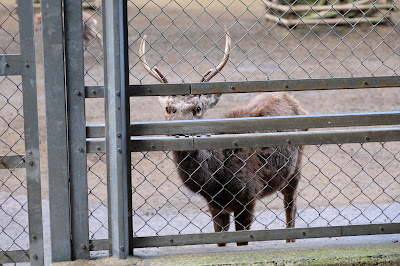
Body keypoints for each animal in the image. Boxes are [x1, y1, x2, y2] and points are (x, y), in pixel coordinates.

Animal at [139, 31, 308, 247]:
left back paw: (290, 240)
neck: (216, 182)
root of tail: (291, 99)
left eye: (198, 109)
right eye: (169, 108)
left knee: (291, 206)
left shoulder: (248, 196)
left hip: (296, 167)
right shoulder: (214, 206)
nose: (181, 133)